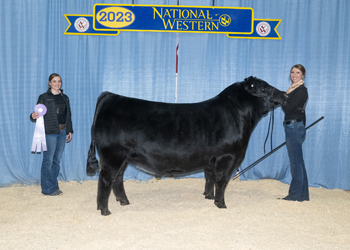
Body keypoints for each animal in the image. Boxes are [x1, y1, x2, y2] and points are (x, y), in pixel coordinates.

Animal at [86, 76, 286, 215]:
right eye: (264, 87)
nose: (284, 94)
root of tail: (112, 96)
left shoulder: (211, 159)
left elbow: (209, 178)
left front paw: (208, 197)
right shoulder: (227, 157)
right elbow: (221, 181)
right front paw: (221, 204)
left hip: (123, 158)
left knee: (117, 179)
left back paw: (124, 202)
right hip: (113, 156)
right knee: (106, 180)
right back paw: (105, 210)